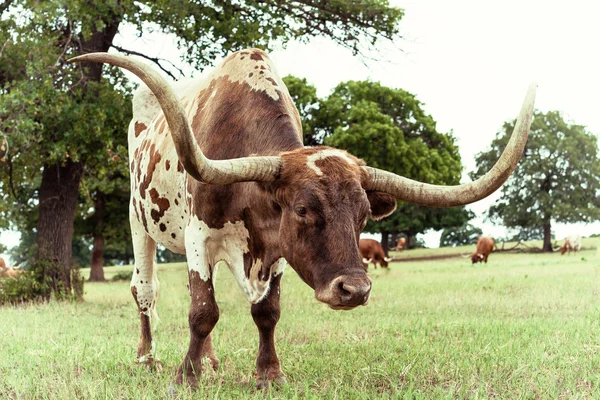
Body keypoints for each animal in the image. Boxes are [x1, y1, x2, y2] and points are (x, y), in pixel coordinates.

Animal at [70, 48, 536, 390]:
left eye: (364, 215)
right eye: (302, 209)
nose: (355, 289)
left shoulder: (275, 246)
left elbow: (266, 312)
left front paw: (268, 374)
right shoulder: (199, 235)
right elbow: (202, 310)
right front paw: (186, 377)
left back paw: (211, 359)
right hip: (139, 222)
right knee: (145, 291)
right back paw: (147, 358)